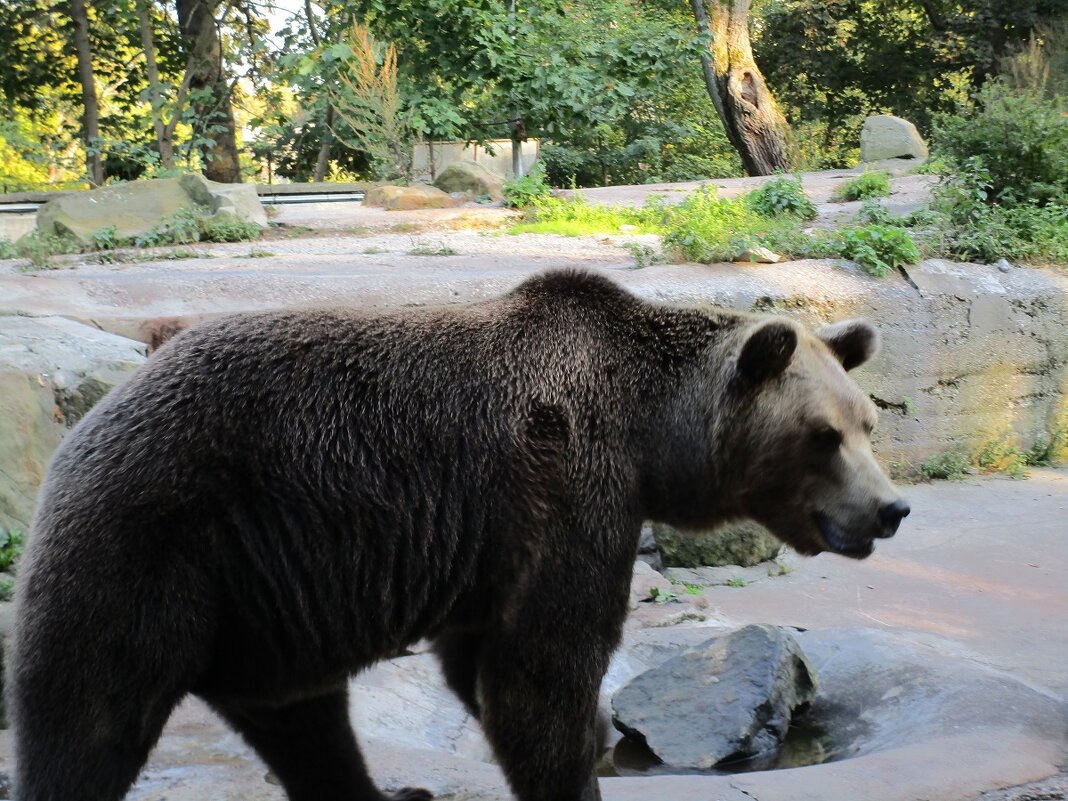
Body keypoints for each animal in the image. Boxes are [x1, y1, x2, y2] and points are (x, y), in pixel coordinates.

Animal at [8, 270, 909, 801]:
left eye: (867, 424)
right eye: (822, 436)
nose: (889, 509)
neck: (650, 432)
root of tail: (86, 425)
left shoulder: (494, 541)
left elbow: (484, 665)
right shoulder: (570, 488)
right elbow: (540, 674)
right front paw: (576, 766)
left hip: (261, 605)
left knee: (304, 721)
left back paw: (383, 794)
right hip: (153, 544)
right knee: (89, 715)